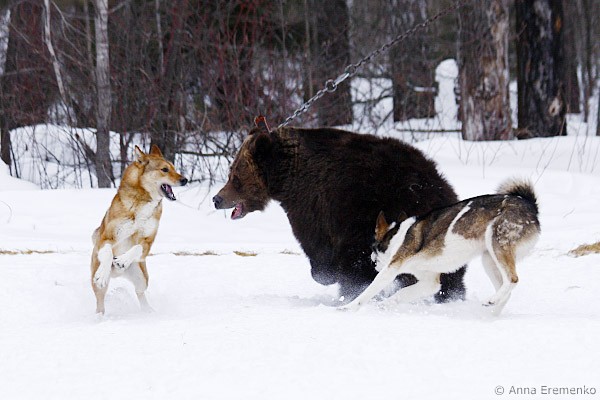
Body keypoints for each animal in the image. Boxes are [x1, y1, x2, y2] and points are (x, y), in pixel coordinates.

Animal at [91, 145, 187, 314]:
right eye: (164, 169)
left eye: (174, 168)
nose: (185, 180)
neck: (143, 201)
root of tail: (118, 274)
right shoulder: (106, 238)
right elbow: (108, 253)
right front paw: (103, 273)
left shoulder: (148, 241)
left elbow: (136, 248)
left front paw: (122, 260)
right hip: (99, 284)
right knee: (100, 303)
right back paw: (99, 316)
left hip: (142, 278)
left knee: (140, 293)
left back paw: (148, 312)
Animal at [213, 125, 466, 302]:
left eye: (235, 176)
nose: (216, 199)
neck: (288, 177)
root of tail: (429, 191)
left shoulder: (317, 204)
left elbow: (319, 247)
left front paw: (324, 274)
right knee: (450, 276)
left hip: (374, 216)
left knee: (359, 264)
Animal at [339, 179, 540, 314]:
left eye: (373, 250)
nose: (373, 263)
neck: (396, 237)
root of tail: (530, 205)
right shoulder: (430, 282)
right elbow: (402, 294)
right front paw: (384, 305)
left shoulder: (390, 270)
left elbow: (368, 291)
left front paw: (347, 307)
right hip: (488, 259)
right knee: (507, 290)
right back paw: (491, 313)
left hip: (497, 244)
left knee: (512, 280)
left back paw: (492, 301)